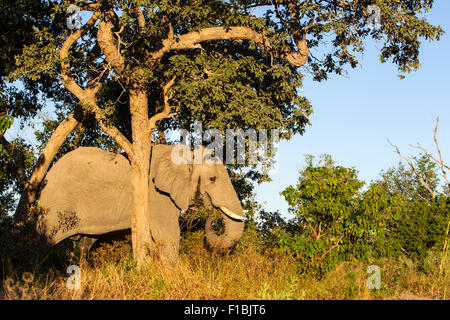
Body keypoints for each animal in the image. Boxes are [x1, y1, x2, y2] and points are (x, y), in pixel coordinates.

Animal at [36, 145, 246, 260]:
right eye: (212, 179)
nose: (212, 217)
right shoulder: (155, 192)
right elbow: (168, 234)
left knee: (82, 245)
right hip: (55, 204)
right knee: (44, 240)